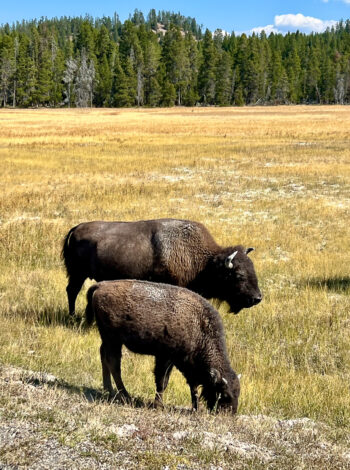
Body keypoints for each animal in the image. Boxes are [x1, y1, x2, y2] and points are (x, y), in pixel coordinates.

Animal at [62, 218, 262, 314]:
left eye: (253, 270)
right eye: (238, 275)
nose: (257, 298)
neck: (205, 261)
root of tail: (76, 228)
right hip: (77, 273)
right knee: (72, 290)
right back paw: (72, 316)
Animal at [86, 280, 241, 414]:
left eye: (238, 393)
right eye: (224, 394)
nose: (230, 413)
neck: (199, 326)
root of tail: (100, 285)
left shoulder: (187, 365)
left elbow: (193, 386)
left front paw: (196, 408)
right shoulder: (165, 358)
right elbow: (162, 382)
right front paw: (159, 405)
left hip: (108, 339)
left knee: (104, 357)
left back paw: (109, 390)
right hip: (113, 339)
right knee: (113, 363)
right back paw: (125, 396)